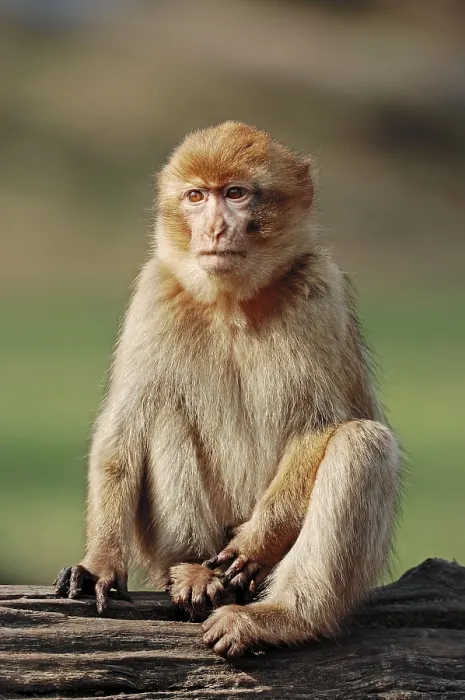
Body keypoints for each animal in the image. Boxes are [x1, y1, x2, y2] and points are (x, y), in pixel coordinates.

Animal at [55, 121, 402, 659]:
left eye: (235, 194)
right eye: (196, 196)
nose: (214, 229)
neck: (232, 301)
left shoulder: (318, 292)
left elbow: (321, 426)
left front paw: (256, 542)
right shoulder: (155, 292)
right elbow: (124, 426)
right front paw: (100, 562)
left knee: (363, 442)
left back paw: (281, 617)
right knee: (163, 410)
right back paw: (195, 571)